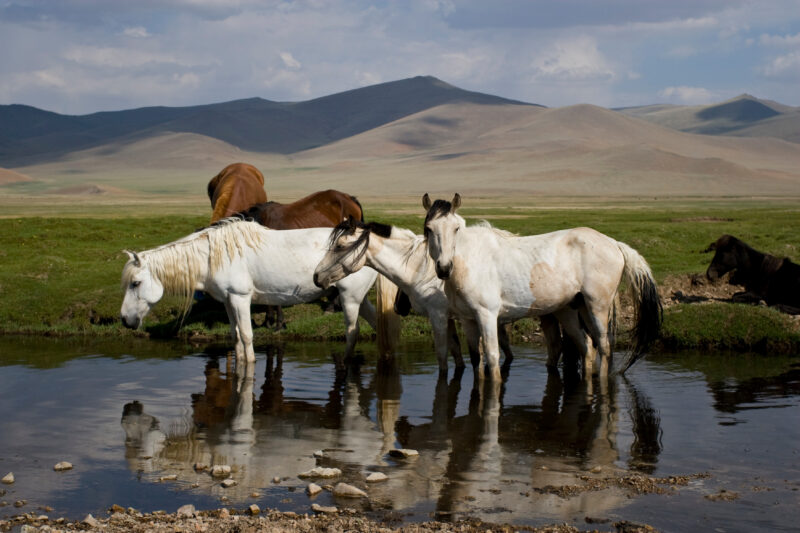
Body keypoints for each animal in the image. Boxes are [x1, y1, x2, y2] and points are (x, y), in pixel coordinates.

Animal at [120, 219, 378, 364]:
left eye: (135, 283)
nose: (125, 320)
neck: (213, 257)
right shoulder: (228, 301)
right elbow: (235, 336)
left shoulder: (240, 298)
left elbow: (246, 336)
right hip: (360, 299)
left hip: (350, 298)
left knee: (352, 333)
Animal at [312, 217, 516, 375]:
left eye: (339, 245)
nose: (316, 276)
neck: (421, 268)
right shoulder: (449, 318)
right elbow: (457, 352)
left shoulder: (439, 315)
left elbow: (444, 356)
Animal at [422, 193, 662, 380]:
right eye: (428, 229)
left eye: (456, 229)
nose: (444, 268)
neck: (471, 261)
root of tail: (614, 244)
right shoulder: (468, 320)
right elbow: (476, 360)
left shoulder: (487, 315)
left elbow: (492, 359)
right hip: (572, 309)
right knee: (587, 347)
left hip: (598, 306)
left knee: (604, 347)